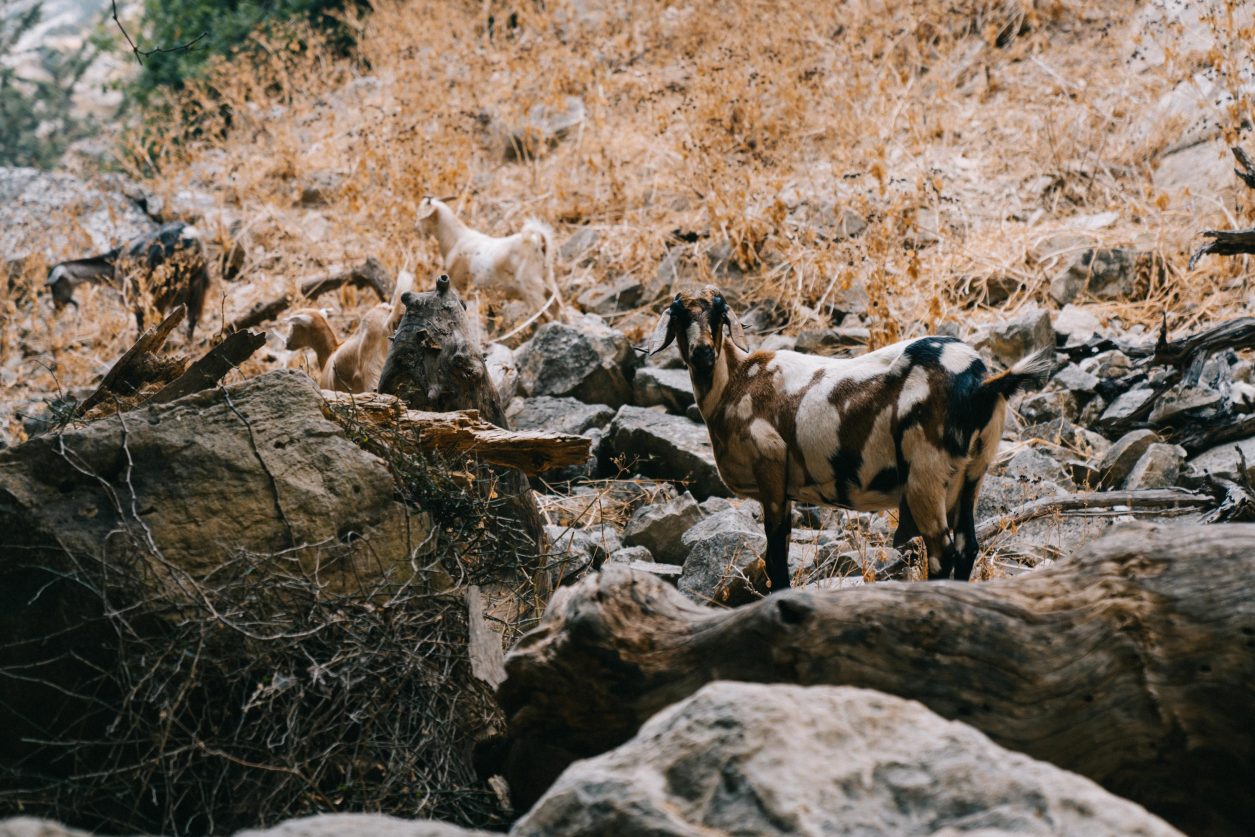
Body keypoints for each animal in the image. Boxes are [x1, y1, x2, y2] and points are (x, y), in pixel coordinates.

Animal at [47, 225, 210, 341]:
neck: (113, 264)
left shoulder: (136, 293)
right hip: (198, 287)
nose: (57, 309)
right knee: (192, 319)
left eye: (54, 286)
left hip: (162, 287)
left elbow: (140, 321)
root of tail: (189, 235)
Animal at [416, 198, 564, 323]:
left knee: (547, 316)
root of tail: (539, 244)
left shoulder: (461, 286)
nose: (416, 228)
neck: (457, 240)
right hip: (549, 282)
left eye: (422, 215)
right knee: (559, 309)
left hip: (531, 289)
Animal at [652, 284, 1054, 592]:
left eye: (718, 315)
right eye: (680, 316)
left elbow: (776, 560)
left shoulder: (771, 471)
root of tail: (983, 384)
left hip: (926, 474)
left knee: (942, 551)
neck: (737, 381)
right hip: (971, 474)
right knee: (967, 547)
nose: (703, 353)